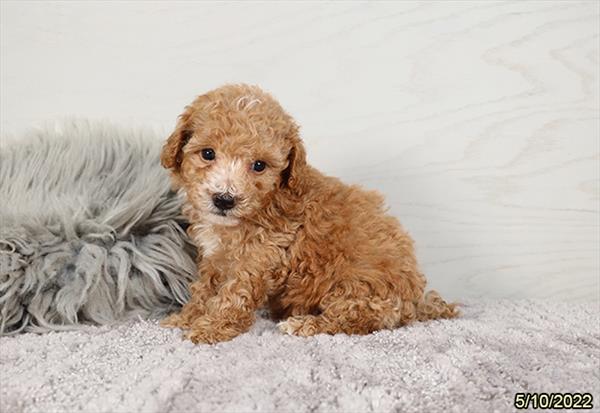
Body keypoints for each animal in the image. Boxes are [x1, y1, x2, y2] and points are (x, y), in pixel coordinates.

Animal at [158, 83, 454, 342]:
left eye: (259, 165)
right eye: (207, 153)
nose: (224, 199)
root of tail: (416, 301)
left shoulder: (261, 254)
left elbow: (234, 294)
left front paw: (212, 328)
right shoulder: (214, 258)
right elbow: (204, 288)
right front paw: (186, 318)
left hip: (360, 289)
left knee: (354, 318)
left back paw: (303, 324)